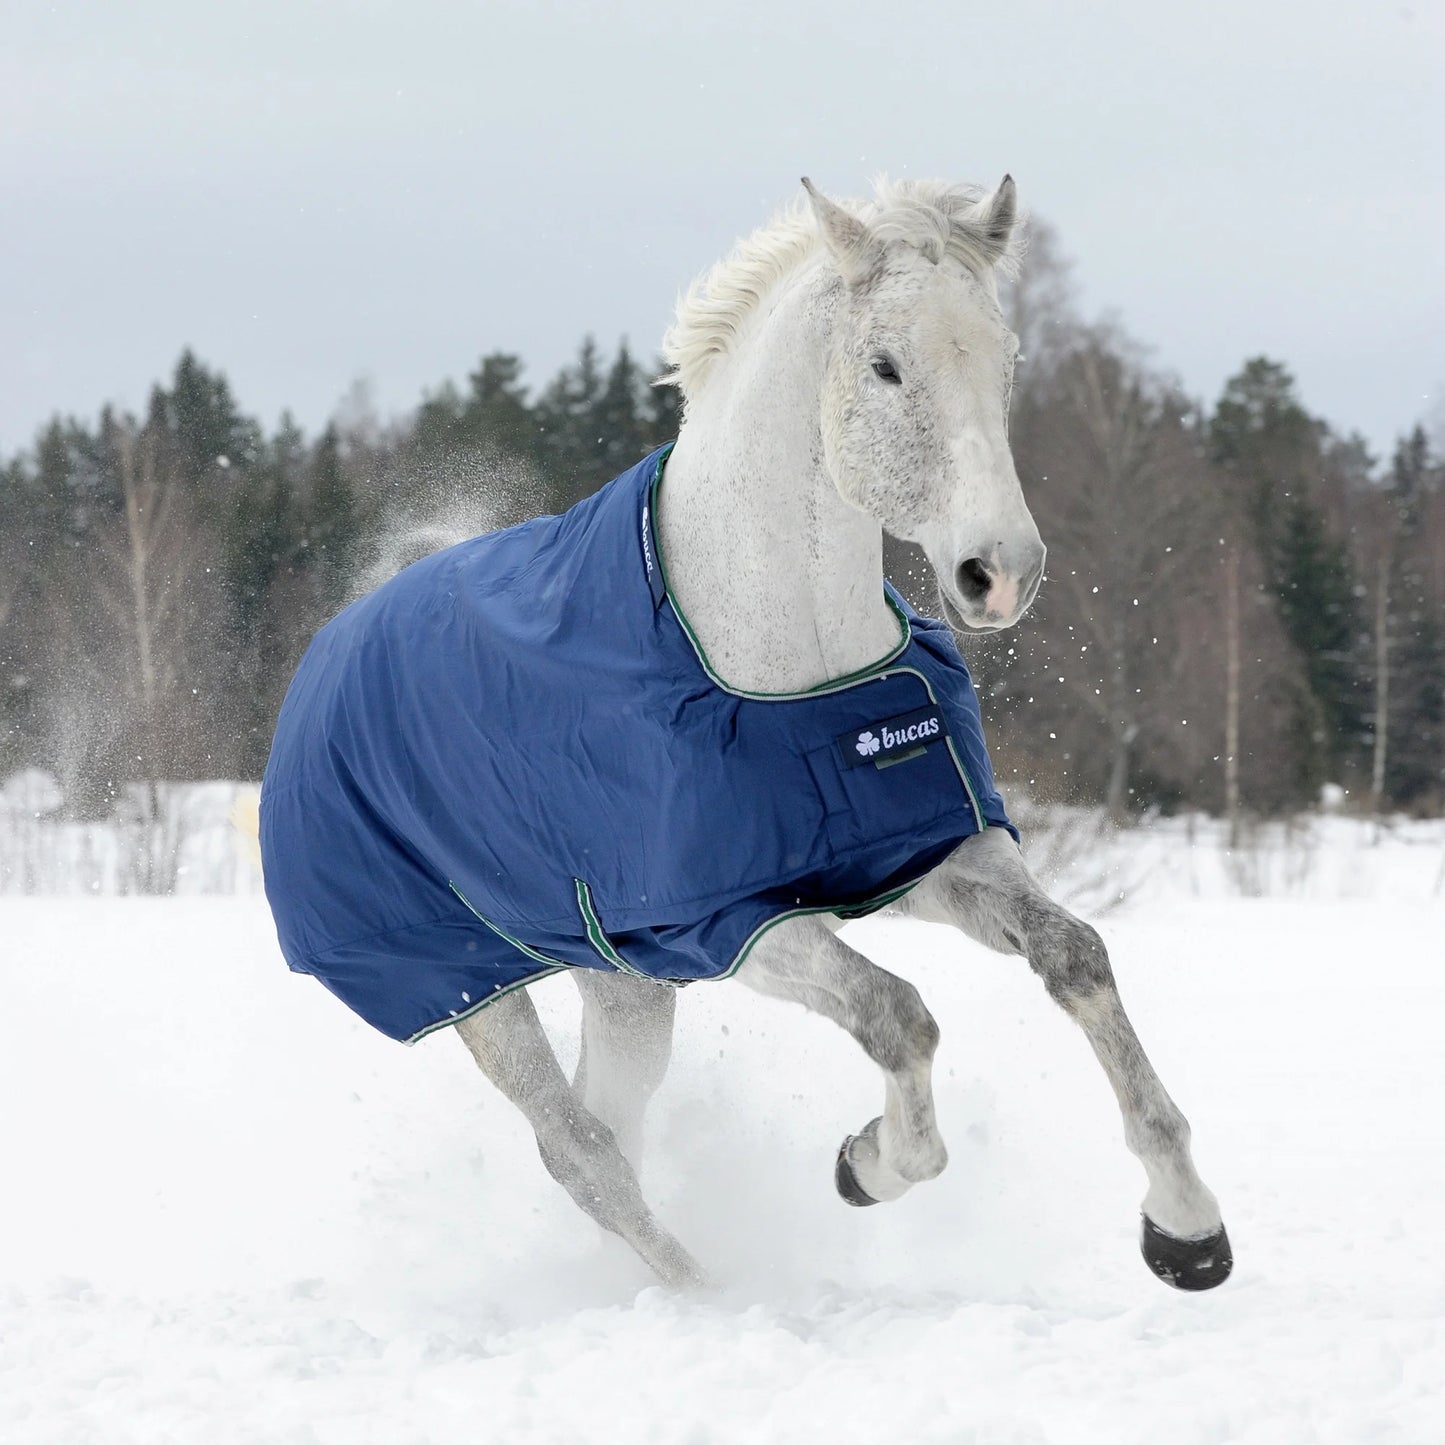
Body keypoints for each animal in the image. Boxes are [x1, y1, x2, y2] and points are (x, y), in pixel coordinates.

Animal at [259, 176, 1231, 1293]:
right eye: (883, 364)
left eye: (1004, 354)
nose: (999, 572)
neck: (777, 659)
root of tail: (333, 645)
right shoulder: (733, 927)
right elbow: (899, 1014)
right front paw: (868, 1164)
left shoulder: (924, 853)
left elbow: (1076, 956)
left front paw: (1186, 1229)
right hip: (464, 989)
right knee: (579, 1151)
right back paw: (700, 1289)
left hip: (621, 985)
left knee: (610, 1123)